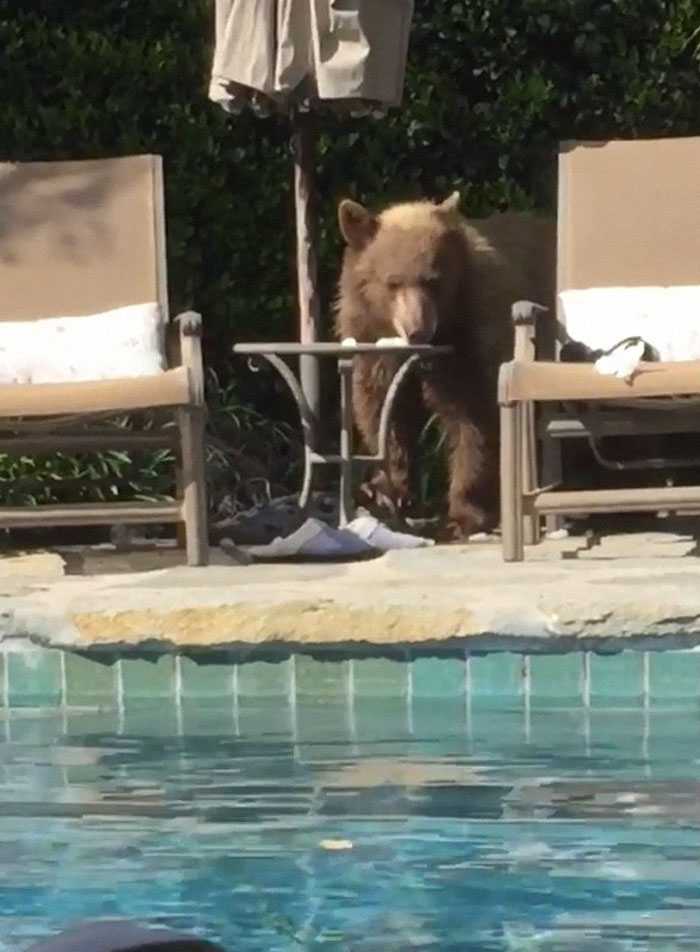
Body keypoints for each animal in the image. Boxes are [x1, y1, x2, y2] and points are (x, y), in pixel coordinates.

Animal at [336, 190, 556, 540]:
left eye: (433, 281)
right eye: (392, 282)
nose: (417, 329)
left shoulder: (475, 335)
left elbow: (473, 416)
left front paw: (464, 514)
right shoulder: (371, 338)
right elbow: (383, 408)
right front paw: (384, 492)